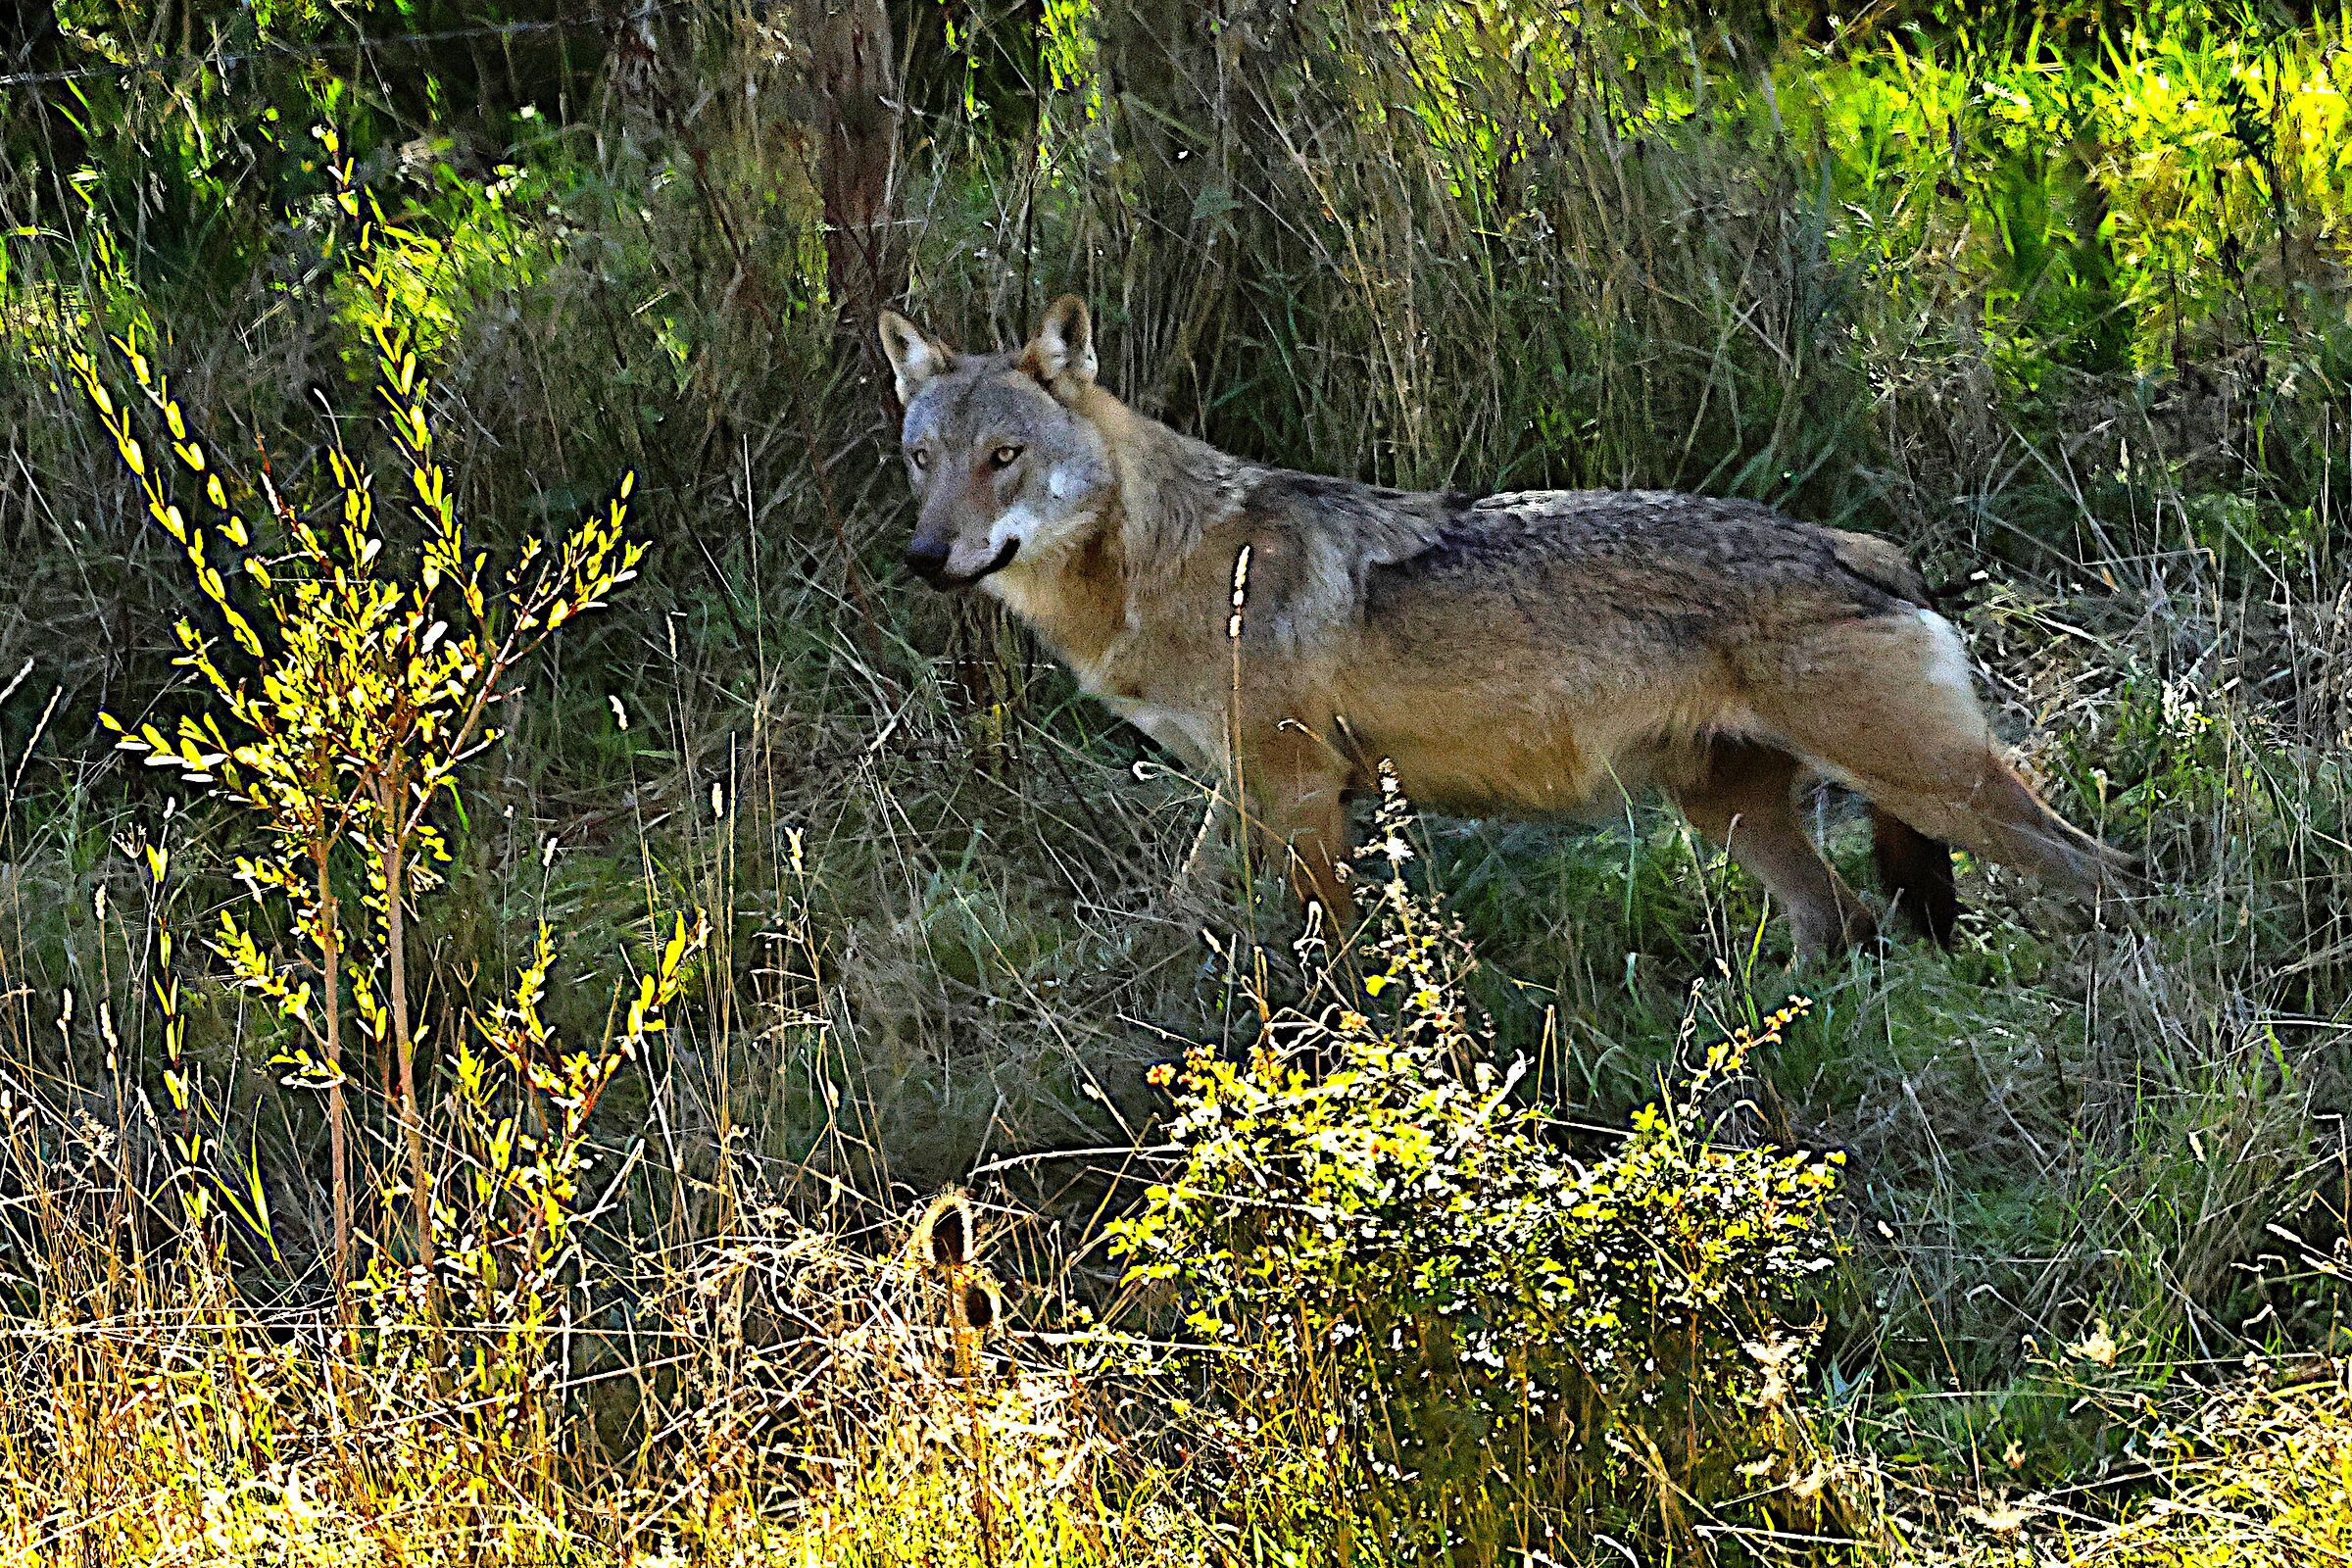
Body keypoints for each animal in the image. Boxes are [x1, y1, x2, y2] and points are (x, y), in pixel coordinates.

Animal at [878, 296, 2129, 955]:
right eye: (924, 459)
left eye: (1006, 458)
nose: (926, 557)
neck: (1167, 560)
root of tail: (1867, 547)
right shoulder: (1249, 792)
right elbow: (1189, 904)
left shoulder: (1298, 791)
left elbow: (1335, 954)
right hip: (1736, 820)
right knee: (1849, 928)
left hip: (1937, 795)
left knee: (2105, 871)